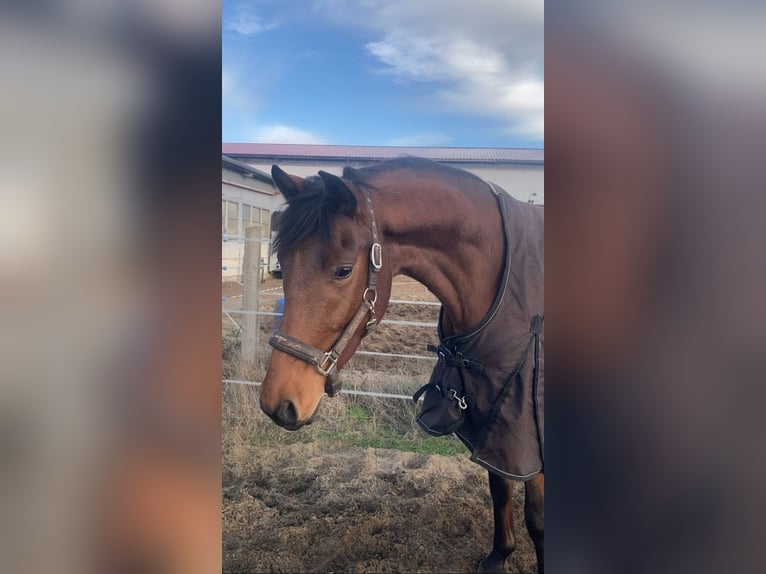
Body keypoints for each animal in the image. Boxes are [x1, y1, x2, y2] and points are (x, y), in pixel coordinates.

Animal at [262, 159, 544, 574]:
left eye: (343, 270)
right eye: (283, 263)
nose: (278, 403)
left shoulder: (529, 424)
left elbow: (536, 517)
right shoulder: (494, 415)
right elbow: (499, 486)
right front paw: (499, 556)